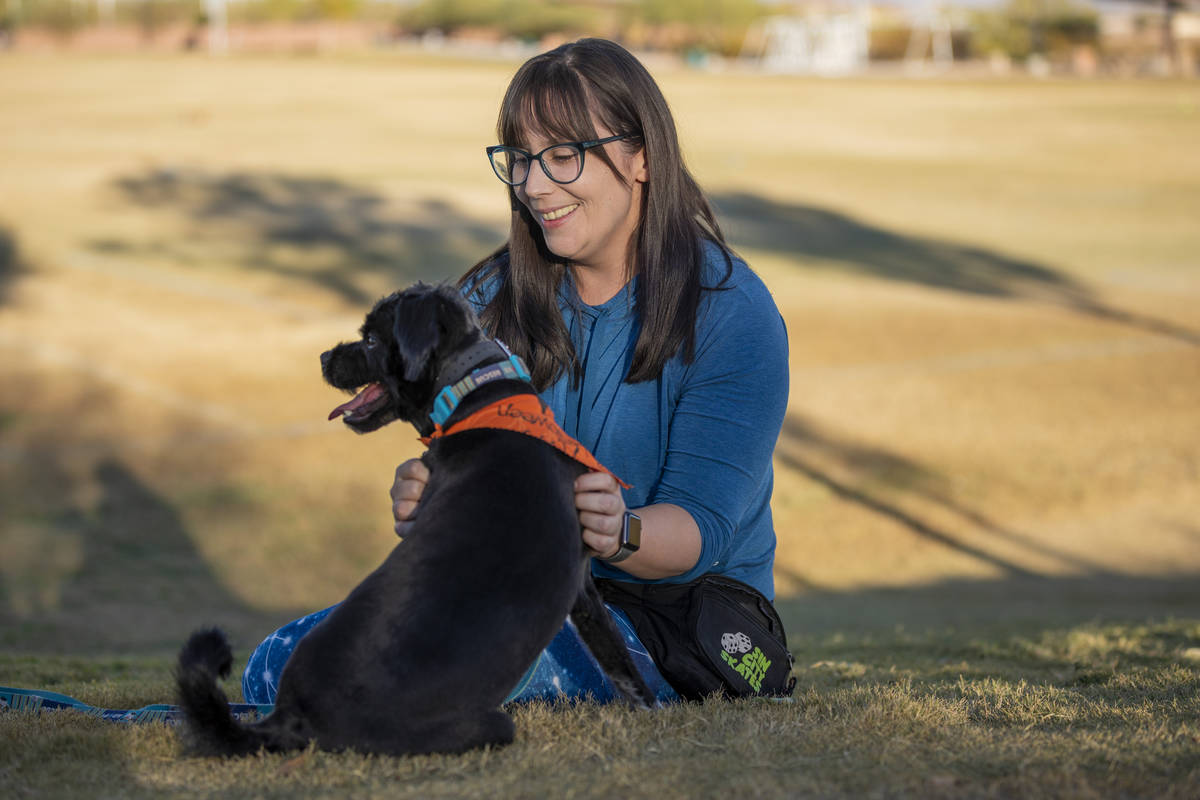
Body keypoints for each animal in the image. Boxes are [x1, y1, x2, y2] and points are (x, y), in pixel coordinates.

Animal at [175, 283, 657, 758]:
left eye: (371, 339)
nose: (324, 357)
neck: (469, 393)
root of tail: (293, 715)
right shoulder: (581, 585)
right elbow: (616, 657)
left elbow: (617, 658)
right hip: (491, 723)